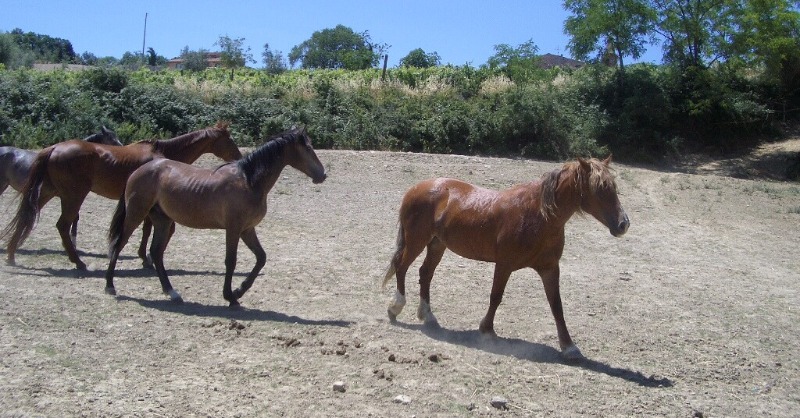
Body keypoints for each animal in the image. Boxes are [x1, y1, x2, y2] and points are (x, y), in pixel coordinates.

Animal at [1, 122, 242, 270]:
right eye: (229, 140)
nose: (239, 156)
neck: (163, 156)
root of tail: (54, 148)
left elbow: (147, 229)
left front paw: (145, 256)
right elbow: (148, 230)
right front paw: (146, 257)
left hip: (49, 193)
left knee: (26, 217)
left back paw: (11, 254)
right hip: (73, 196)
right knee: (62, 225)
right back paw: (78, 262)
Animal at [104, 126, 327, 307]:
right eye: (308, 148)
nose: (323, 175)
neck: (248, 180)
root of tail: (139, 171)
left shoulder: (247, 229)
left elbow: (261, 258)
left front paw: (239, 291)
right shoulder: (234, 229)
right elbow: (231, 261)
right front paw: (230, 295)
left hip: (163, 221)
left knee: (156, 253)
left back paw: (172, 293)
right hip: (136, 215)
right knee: (119, 244)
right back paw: (110, 286)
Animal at [381, 157, 629, 361]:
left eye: (614, 188)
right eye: (600, 189)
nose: (623, 224)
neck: (538, 216)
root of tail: (417, 188)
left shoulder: (550, 268)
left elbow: (556, 306)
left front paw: (569, 347)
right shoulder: (504, 265)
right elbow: (496, 297)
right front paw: (487, 331)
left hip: (437, 244)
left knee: (425, 274)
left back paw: (428, 315)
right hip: (417, 241)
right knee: (402, 267)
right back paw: (395, 307)